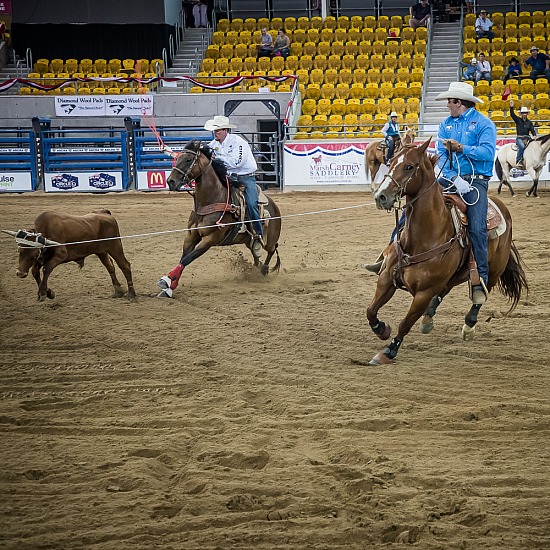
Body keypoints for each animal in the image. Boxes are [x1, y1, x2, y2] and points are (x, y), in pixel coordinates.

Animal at [156, 140, 282, 300]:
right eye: (177, 158)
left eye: (189, 160)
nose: (171, 181)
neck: (211, 199)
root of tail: (274, 205)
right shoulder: (191, 235)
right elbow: (183, 258)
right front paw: (169, 287)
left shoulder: (210, 238)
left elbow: (187, 259)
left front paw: (166, 281)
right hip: (250, 241)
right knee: (256, 253)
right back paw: (255, 270)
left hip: (269, 239)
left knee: (272, 250)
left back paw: (263, 270)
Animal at [366, 139, 532, 366]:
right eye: (390, 162)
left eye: (409, 166)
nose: (380, 196)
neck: (424, 237)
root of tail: (500, 207)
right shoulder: (385, 279)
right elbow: (371, 311)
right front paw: (382, 329)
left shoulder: (424, 293)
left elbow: (405, 324)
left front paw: (389, 351)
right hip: (455, 274)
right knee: (445, 289)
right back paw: (428, 318)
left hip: (494, 269)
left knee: (481, 292)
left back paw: (468, 325)